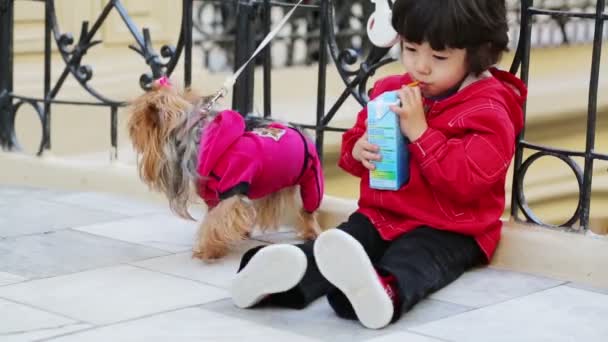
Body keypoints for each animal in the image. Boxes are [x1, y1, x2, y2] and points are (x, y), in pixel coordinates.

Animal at [128, 77, 326, 260]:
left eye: (136, 124)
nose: (131, 128)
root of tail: (299, 130)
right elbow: (215, 217)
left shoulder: (230, 187)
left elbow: (217, 220)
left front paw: (207, 250)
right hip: (268, 181)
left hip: (311, 177)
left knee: (309, 207)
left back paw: (311, 232)